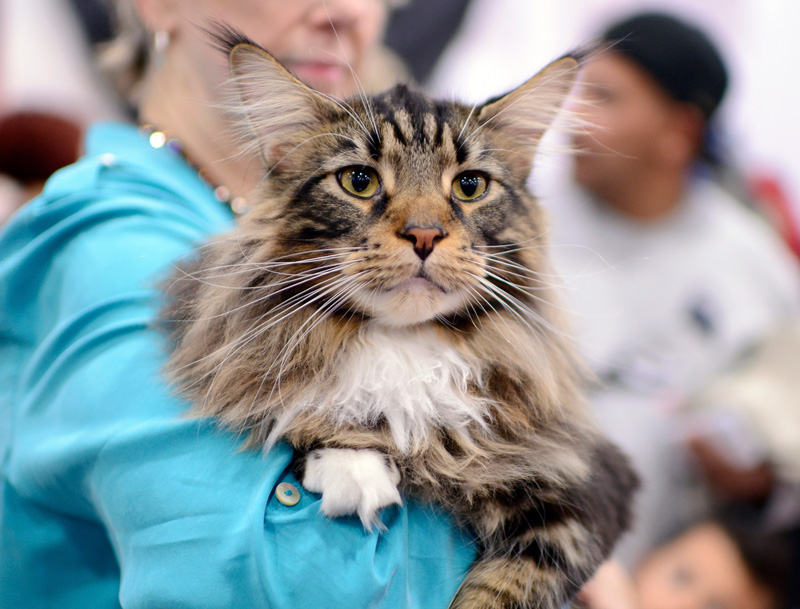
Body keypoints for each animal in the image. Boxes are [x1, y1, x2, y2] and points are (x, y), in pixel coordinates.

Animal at [162, 29, 636, 608]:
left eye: (470, 186)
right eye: (359, 181)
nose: (425, 234)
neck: (406, 344)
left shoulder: (585, 491)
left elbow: (497, 594)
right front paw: (354, 468)